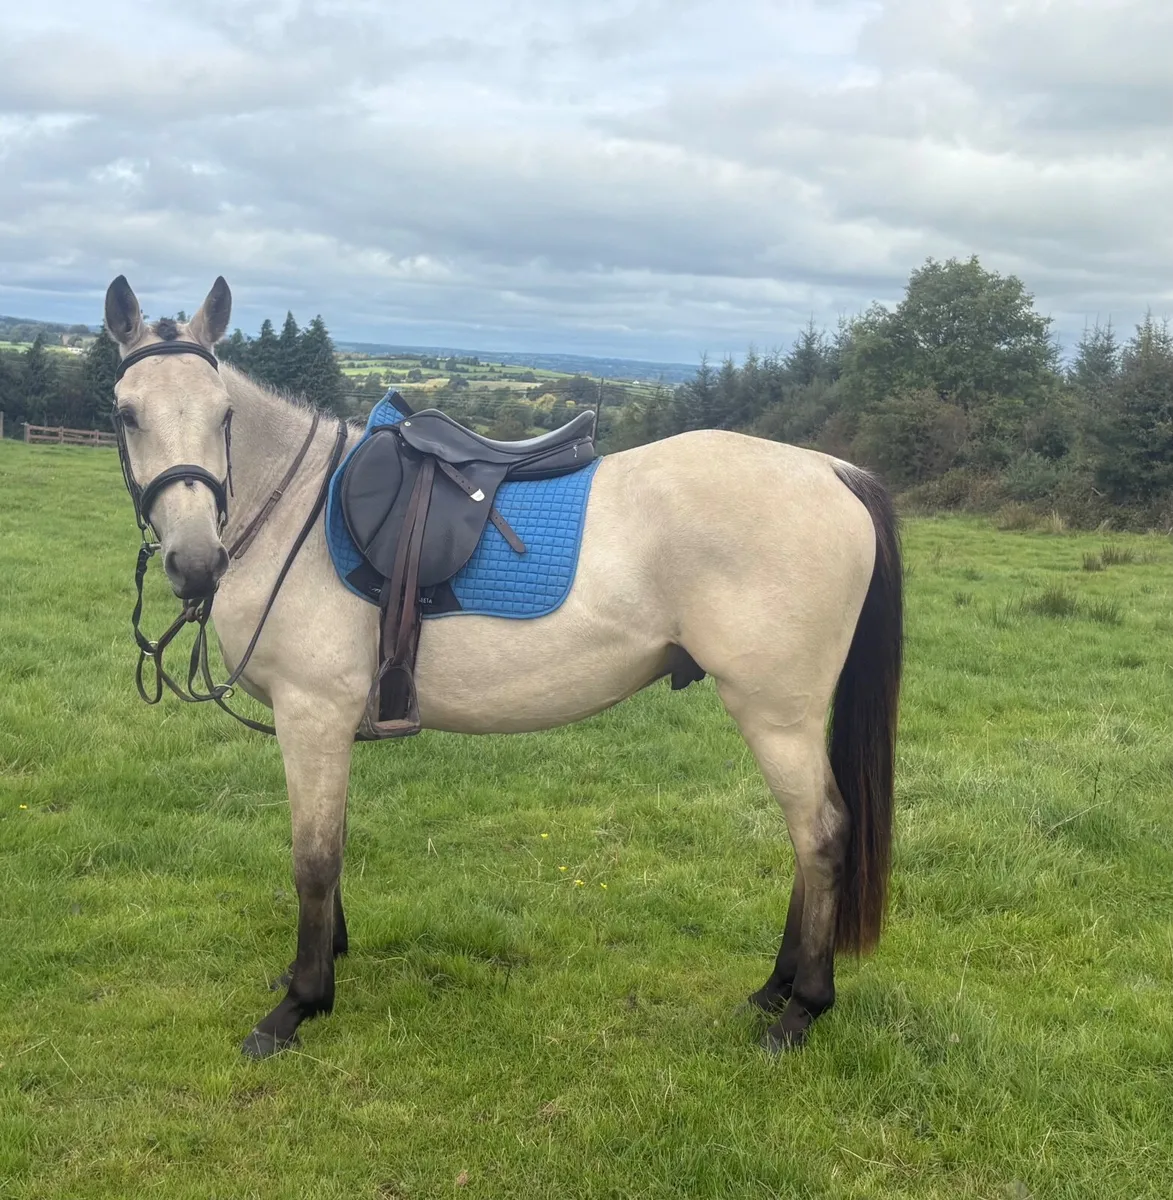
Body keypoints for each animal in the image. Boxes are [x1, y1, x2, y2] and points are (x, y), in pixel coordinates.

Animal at [103, 275, 902, 1059]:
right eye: (126, 413)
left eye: (225, 414)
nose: (196, 563)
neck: (296, 512)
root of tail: (833, 471)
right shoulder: (324, 726)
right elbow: (335, 846)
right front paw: (328, 959)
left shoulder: (312, 715)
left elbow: (314, 859)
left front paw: (300, 1003)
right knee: (804, 839)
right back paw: (773, 989)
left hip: (775, 714)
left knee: (822, 836)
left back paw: (800, 1010)